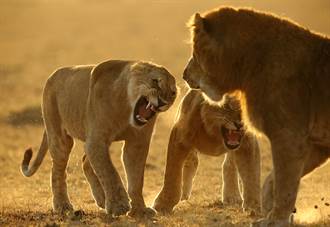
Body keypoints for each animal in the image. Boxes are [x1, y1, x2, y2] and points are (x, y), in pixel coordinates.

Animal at [20, 59, 178, 218]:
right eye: (155, 82)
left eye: (173, 93)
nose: (163, 102)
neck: (126, 108)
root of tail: (52, 75)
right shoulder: (96, 140)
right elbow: (109, 172)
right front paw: (119, 205)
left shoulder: (137, 142)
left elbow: (136, 178)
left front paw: (140, 209)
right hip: (59, 136)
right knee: (58, 171)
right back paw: (62, 206)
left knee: (86, 162)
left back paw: (102, 198)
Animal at [183, 6, 330, 226]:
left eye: (194, 50)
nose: (184, 75)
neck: (248, 64)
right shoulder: (316, 144)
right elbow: (274, 180)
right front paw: (268, 208)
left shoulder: (289, 137)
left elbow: (285, 184)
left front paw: (276, 219)